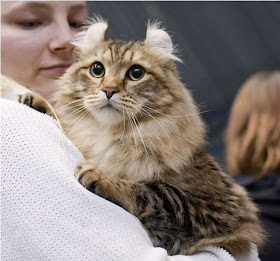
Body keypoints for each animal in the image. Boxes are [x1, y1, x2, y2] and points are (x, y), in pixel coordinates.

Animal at [7, 19, 264, 255]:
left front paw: (99, 176)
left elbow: (153, 192)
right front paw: (37, 102)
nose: (109, 90)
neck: (106, 135)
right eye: (97, 70)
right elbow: (61, 118)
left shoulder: (213, 207)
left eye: (136, 73)